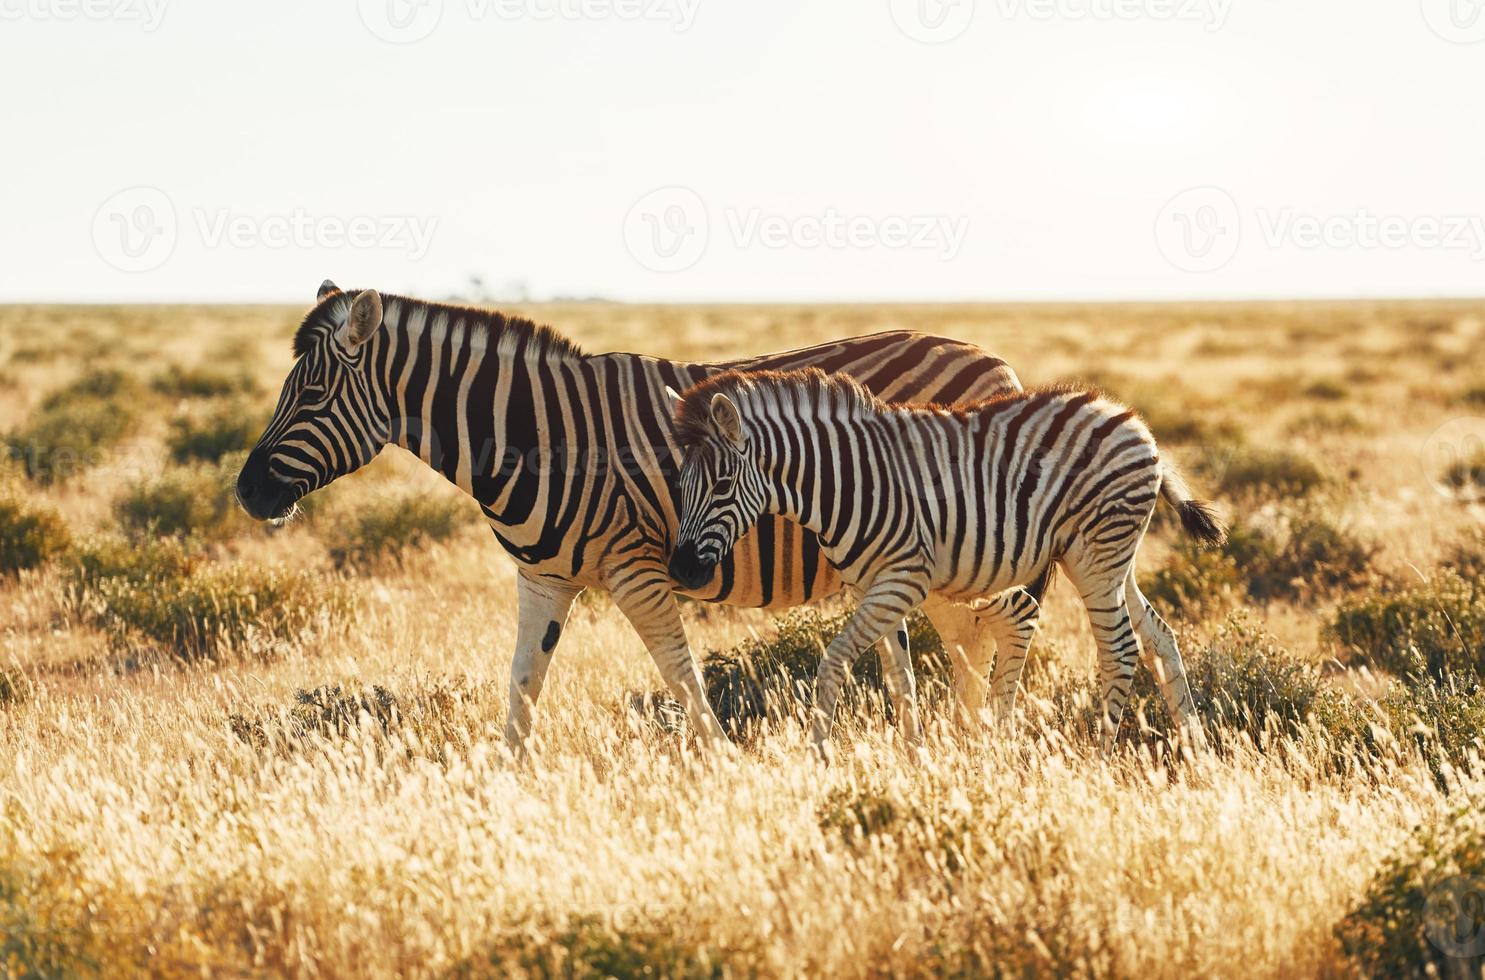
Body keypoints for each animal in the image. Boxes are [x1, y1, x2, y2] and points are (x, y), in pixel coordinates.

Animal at [668, 368, 1223, 751]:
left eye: (722, 484)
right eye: (680, 484)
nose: (680, 571)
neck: (846, 480)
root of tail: (1133, 421)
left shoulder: (903, 579)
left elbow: (833, 662)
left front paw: (818, 756)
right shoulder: (872, 586)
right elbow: (899, 680)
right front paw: (915, 760)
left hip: (1097, 558)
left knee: (1121, 651)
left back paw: (1099, 757)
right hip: (1107, 560)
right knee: (1160, 638)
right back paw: (1196, 750)